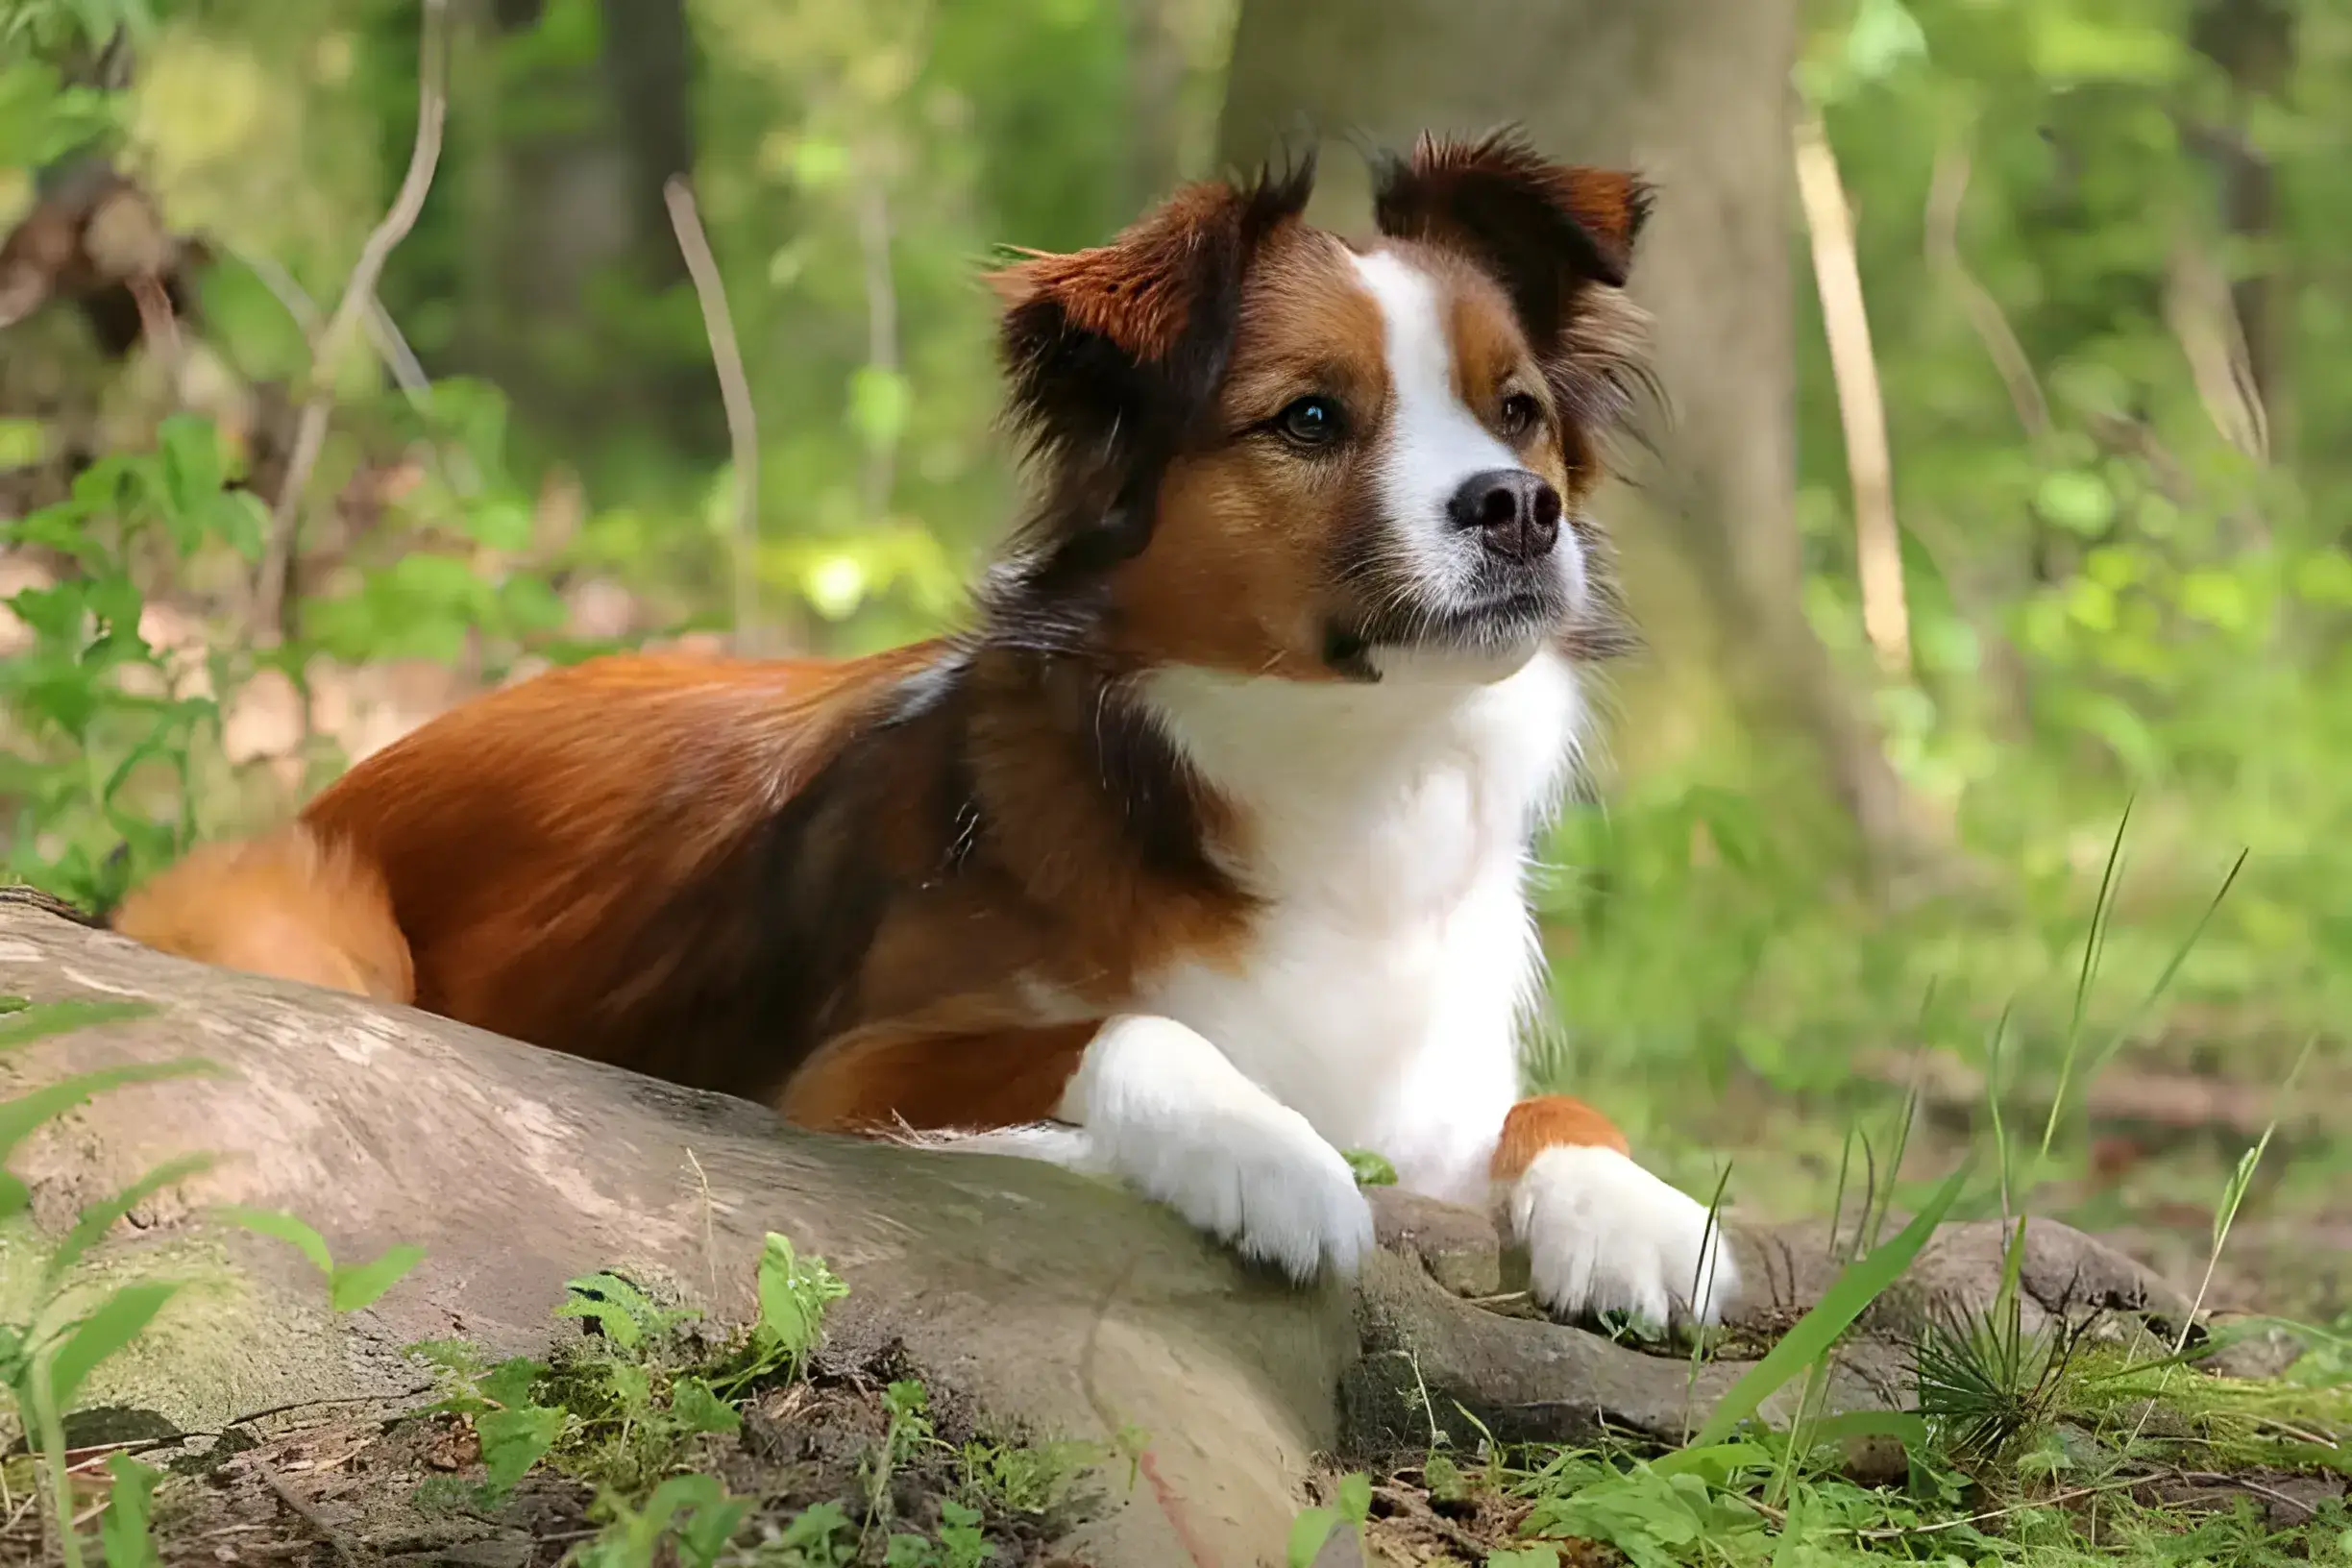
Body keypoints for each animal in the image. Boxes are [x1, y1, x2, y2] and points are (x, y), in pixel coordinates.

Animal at [124, 135, 1750, 1335]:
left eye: (1516, 412)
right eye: (1308, 419)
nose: (1520, 510)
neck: (1346, 761)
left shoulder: (1436, 1089)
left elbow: (1556, 1104)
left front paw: (1646, 1213)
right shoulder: (843, 1074)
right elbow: (1122, 1029)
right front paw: (1269, 1154)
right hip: (313, 929)